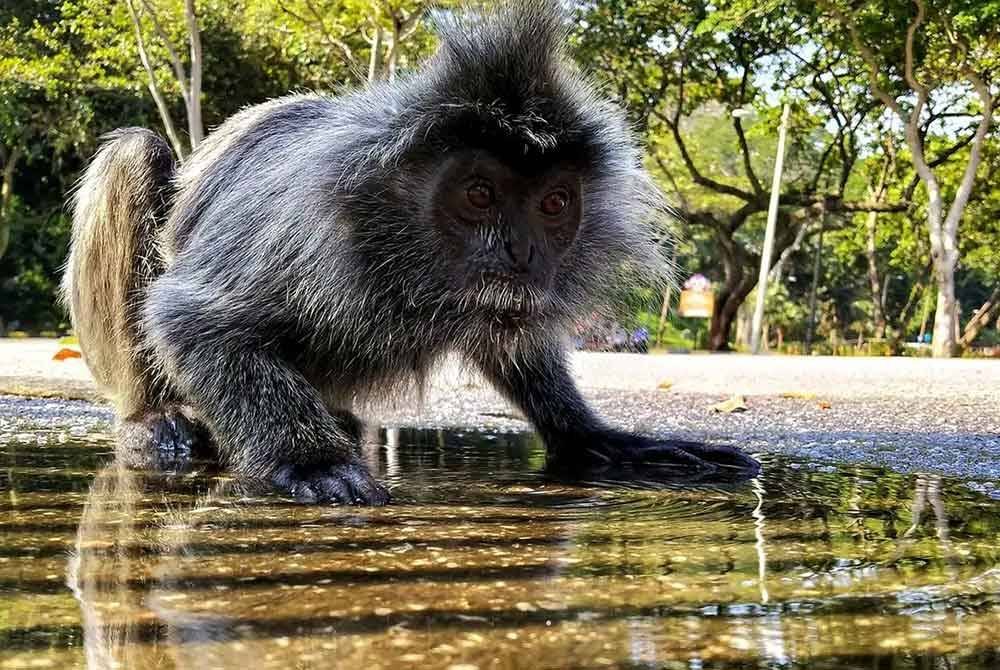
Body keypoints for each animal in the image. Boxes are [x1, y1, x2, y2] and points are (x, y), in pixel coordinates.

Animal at [62, 0, 756, 504]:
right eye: (479, 194)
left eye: (554, 204)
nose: (523, 251)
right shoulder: (303, 229)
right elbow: (190, 316)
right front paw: (310, 462)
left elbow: (513, 344)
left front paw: (593, 438)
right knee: (138, 154)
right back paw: (153, 420)